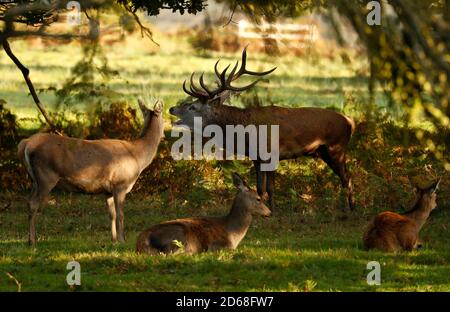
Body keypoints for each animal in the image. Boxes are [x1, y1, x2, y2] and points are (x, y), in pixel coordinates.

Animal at [18, 98, 165, 245]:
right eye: (163, 118)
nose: (164, 134)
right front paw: (122, 240)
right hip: (46, 176)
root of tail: (25, 143)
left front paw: (114, 240)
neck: (137, 157)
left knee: (28, 202)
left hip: (34, 179)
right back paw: (32, 241)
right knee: (33, 204)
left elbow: (112, 214)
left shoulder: (108, 190)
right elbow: (121, 214)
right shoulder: (120, 183)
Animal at [135, 172, 270, 255]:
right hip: (178, 236)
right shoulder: (220, 245)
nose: (269, 212)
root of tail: (140, 243)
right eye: (258, 199)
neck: (233, 234)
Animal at [169, 48, 356, 212]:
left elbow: (271, 187)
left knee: (347, 177)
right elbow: (260, 188)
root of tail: (350, 122)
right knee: (345, 177)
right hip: (326, 152)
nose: (171, 108)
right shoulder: (256, 158)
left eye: (192, 107)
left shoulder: (271, 154)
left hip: (336, 148)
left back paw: (350, 208)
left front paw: (273, 211)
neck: (245, 135)